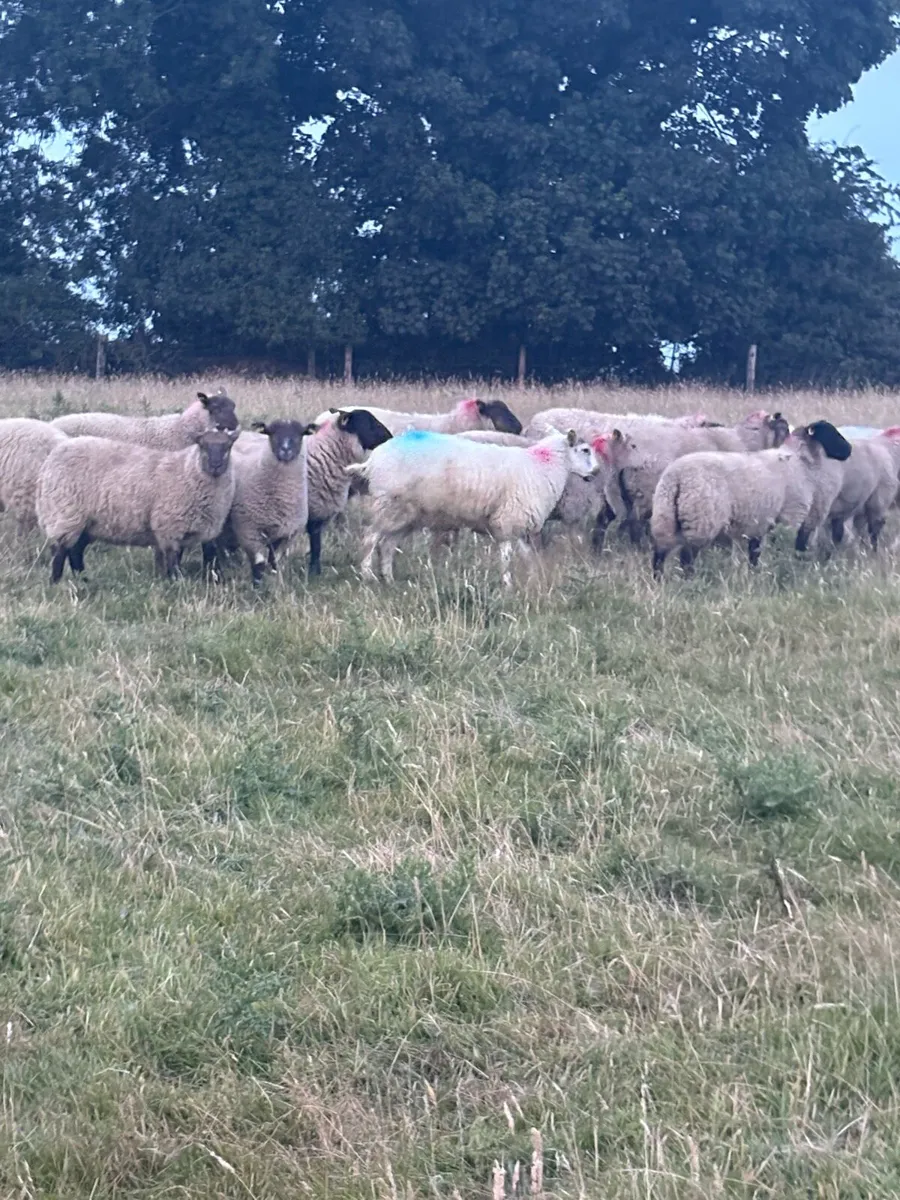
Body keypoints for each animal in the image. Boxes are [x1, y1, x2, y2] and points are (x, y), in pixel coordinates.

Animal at [37, 429, 240, 583]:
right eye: (202, 445)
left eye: (228, 446)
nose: (216, 465)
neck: (188, 469)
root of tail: (52, 457)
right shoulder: (169, 525)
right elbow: (173, 559)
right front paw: (176, 582)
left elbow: (179, 556)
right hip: (66, 513)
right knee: (59, 550)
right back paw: (56, 582)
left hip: (87, 523)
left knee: (76, 550)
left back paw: (83, 578)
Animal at [207, 420, 318, 585]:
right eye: (271, 432)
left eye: (301, 433)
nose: (285, 450)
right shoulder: (250, 530)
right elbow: (259, 563)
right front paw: (257, 586)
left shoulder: (287, 534)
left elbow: (274, 561)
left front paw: (276, 581)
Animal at [347, 428, 600, 583]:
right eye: (585, 450)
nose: (597, 472)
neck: (543, 465)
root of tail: (372, 460)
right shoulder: (509, 519)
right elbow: (506, 556)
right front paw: (507, 584)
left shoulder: (519, 525)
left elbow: (527, 556)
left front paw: (532, 579)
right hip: (388, 506)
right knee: (370, 538)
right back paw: (368, 576)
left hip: (405, 516)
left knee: (387, 545)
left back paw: (389, 579)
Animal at [648, 421, 852, 578]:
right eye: (830, 433)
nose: (849, 450)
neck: (800, 462)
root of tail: (676, 477)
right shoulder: (791, 514)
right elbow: (793, 546)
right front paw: (791, 566)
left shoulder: (760, 522)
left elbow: (755, 552)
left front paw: (755, 573)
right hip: (701, 520)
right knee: (687, 556)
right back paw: (689, 581)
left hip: (664, 517)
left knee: (660, 554)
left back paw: (659, 580)